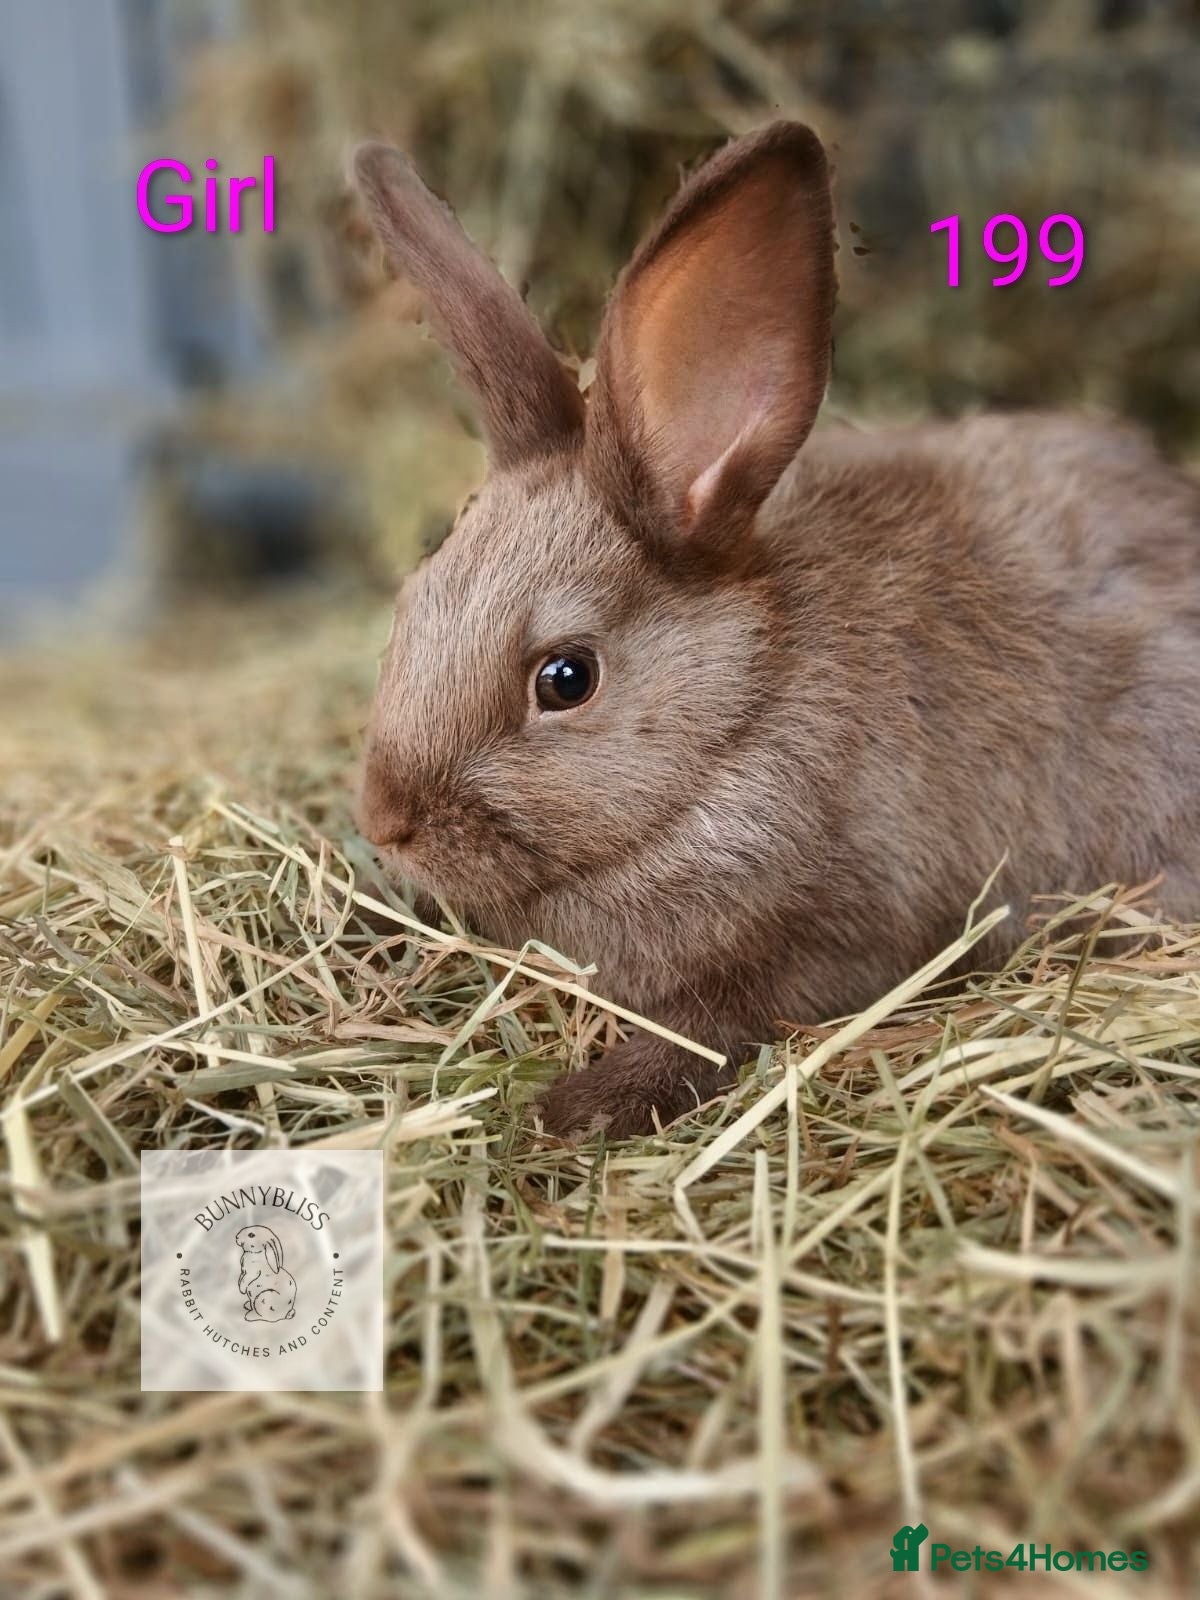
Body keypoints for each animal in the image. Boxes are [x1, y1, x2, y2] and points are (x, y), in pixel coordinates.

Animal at [351, 122, 1200, 1140]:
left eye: (566, 678)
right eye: (414, 598)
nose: (384, 821)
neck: (740, 719)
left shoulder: (833, 942)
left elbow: (714, 1030)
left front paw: (574, 1108)